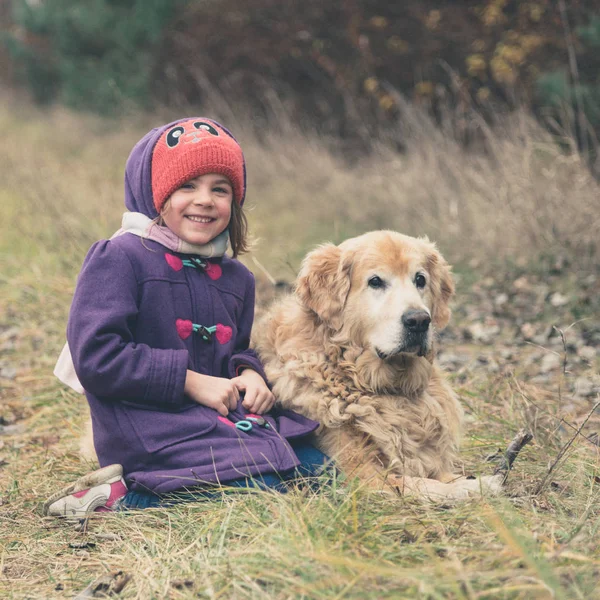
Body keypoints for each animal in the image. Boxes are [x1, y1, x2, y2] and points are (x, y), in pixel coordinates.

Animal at [253, 231, 502, 502]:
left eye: (420, 279)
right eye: (375, 282)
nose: (419, 321)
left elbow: (440, 475)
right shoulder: (362, 477)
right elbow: (420, 483)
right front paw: (478, 485)